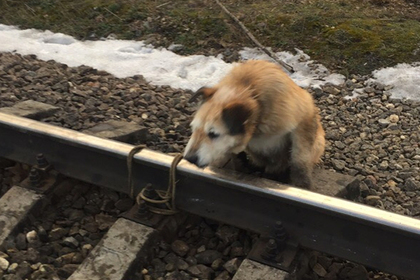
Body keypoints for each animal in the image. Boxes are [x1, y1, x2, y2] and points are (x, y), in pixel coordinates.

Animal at [184, 60, 324, 189]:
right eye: (194, 129)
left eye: (213, 134)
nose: (189, 159)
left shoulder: (305, 118)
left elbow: (299, 159)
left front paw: (302, 184)